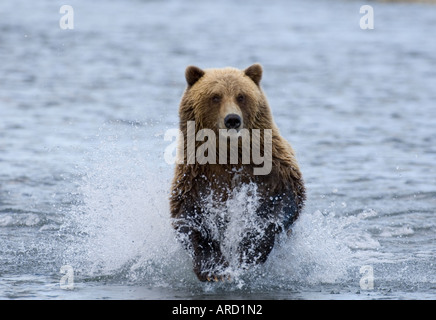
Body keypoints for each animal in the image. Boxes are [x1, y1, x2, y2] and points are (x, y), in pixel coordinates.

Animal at [169, 63, 304, 282]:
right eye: (215, 96)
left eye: (241, 96)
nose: (232, 119)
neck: (230, 153)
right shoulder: (197, 175)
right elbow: (189, 216)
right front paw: (214, 269)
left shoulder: (270, 166)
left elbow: (282, 200)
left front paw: (249, 249)